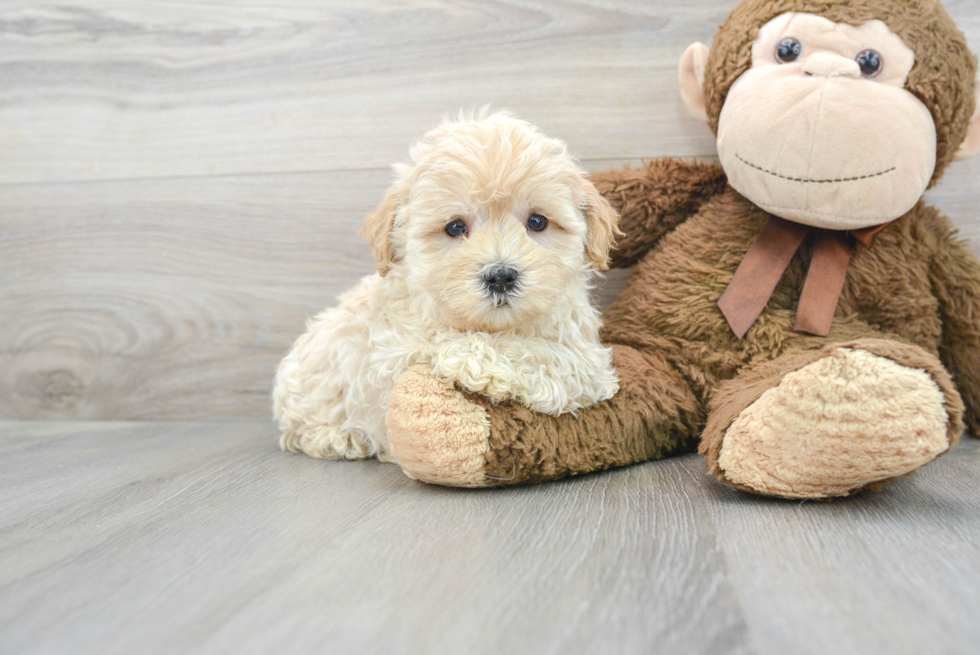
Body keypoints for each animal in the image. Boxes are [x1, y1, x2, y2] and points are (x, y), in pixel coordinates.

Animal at [274, 111, 620, 462]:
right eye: (455, 227)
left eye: (537, 222)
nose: (500, 276)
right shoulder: (388, 353)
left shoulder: (582, 349)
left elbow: (559, 357)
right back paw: (337, 437)